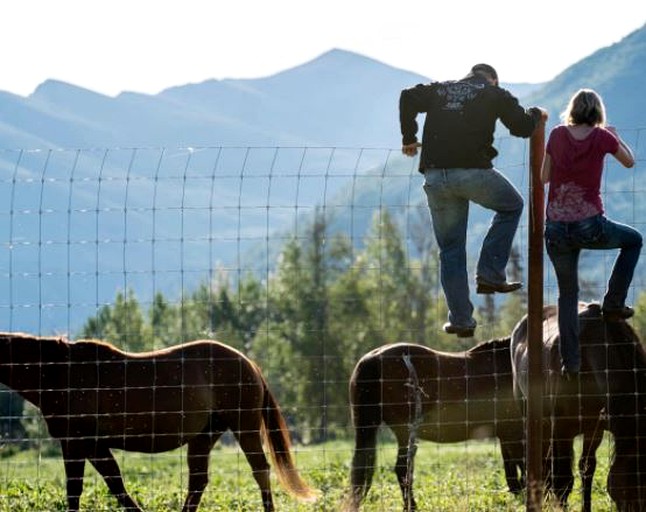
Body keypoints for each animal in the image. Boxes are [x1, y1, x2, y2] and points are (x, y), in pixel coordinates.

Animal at [0, 332, 316, 512]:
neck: (60, 372)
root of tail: (249, 364)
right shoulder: (77, 445)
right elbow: (90, 488)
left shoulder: (85, 443)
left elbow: (104, 486)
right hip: (204, 436)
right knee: (198, 480)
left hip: (244, 427)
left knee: (260, 470)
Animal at [344, 338, 528, 510]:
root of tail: (373, 358)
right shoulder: (514, 433)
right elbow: (522, 469)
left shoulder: (506, 434)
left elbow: (513, 476)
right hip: (404, 432)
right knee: (402, 468)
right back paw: (411, 506)